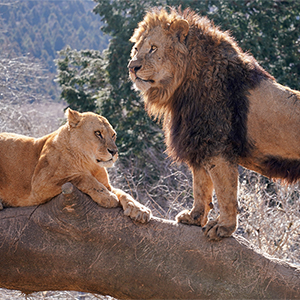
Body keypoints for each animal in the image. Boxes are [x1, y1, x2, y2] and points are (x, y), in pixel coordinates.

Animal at [0, 108, 151, 223]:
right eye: (98, 133)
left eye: (113, 135)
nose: (114, 151)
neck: (90, 164)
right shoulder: (39, 185)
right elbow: (80, 177)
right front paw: (106, 197)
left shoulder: (107, 184)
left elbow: (124, 193)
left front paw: (140, 209)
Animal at [127, 8, 300, 240]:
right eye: (136, 49)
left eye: (153, 48)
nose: (132, 67)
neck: (183, 87)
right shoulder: (199, 144)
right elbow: (201, 188)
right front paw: (193, 218)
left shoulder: (217, 146)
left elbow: (225, 192)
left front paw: (223, 228)